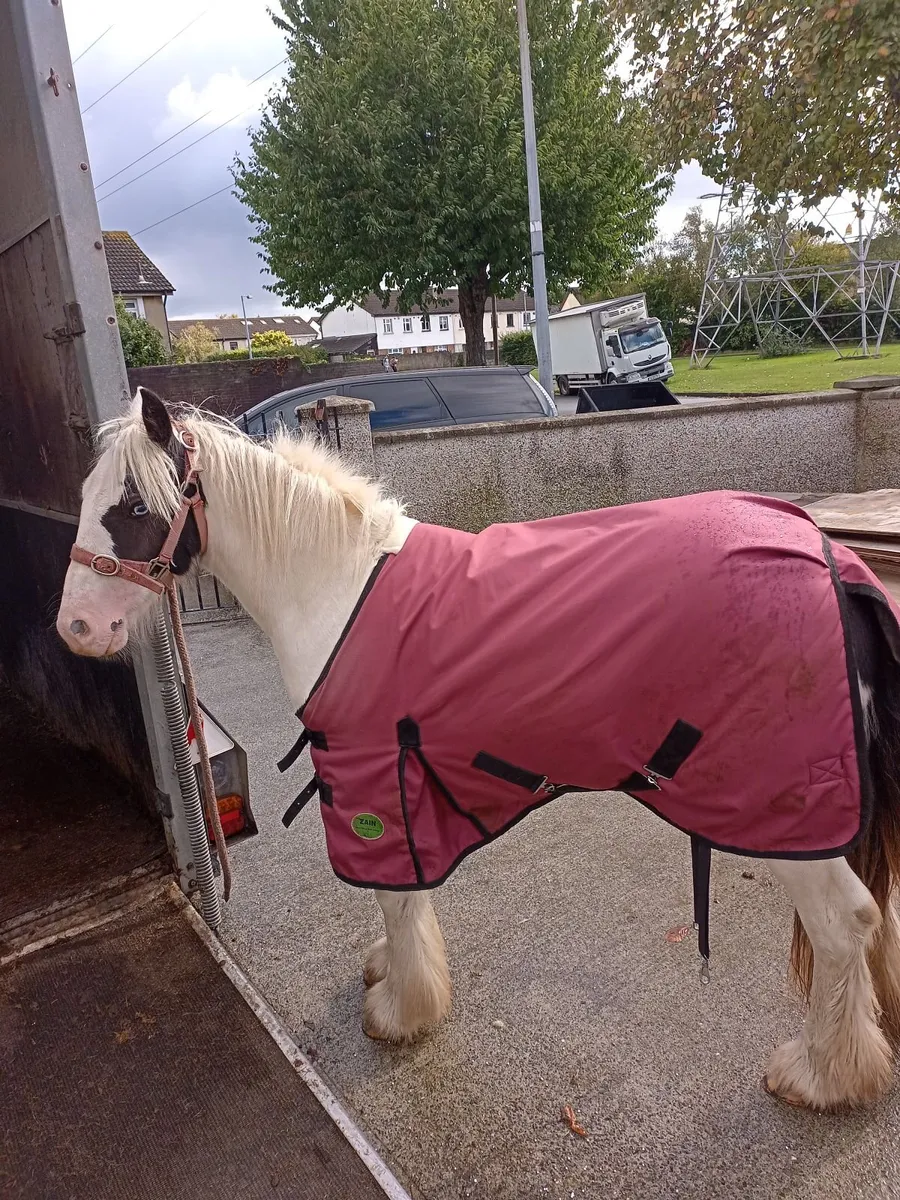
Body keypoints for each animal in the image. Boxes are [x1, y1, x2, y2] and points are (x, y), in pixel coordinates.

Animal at [57, 387, 900, 1112]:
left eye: (134, 507)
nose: (77, 629)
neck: (333, 586)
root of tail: (835, 562)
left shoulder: (370, 779)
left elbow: (393, 894)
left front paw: (399, 1011)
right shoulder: (402, 783)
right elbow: (409, 895)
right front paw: (396, 973)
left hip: (780, 813)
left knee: (844, 923)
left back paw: (823, 1077)